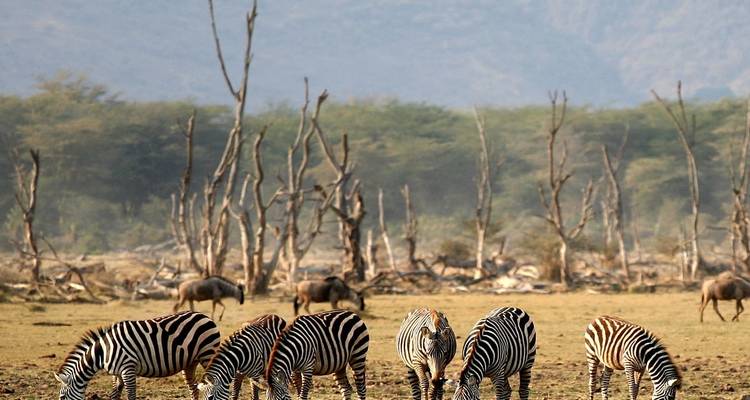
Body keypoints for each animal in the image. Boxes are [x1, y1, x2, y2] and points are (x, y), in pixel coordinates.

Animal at [55, 311, 221, 400]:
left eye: (62, 397)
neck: (103, 351)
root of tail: (204, 316)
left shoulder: (128, 369)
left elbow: (131, 395)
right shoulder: (117, 373)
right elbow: (114, 394)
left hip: (207, 354)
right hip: (190, 363)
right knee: (194, 388)